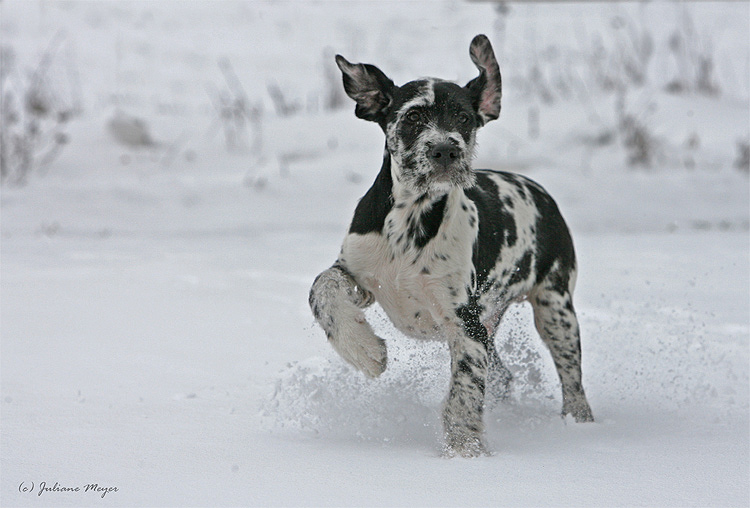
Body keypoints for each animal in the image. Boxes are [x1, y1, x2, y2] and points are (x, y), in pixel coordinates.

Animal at [308, 34, 596, 456]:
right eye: (412, 117)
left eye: (464, 118)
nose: (446, 150)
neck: (409, 223)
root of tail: (541, 193)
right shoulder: (357, 275)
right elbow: (322, 289)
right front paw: (366, 351)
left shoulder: (466, 324)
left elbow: (464, 390)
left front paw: (464, 448)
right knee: (504, 376)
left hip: (555, 307)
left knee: (572, 379)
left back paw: (579, 425)